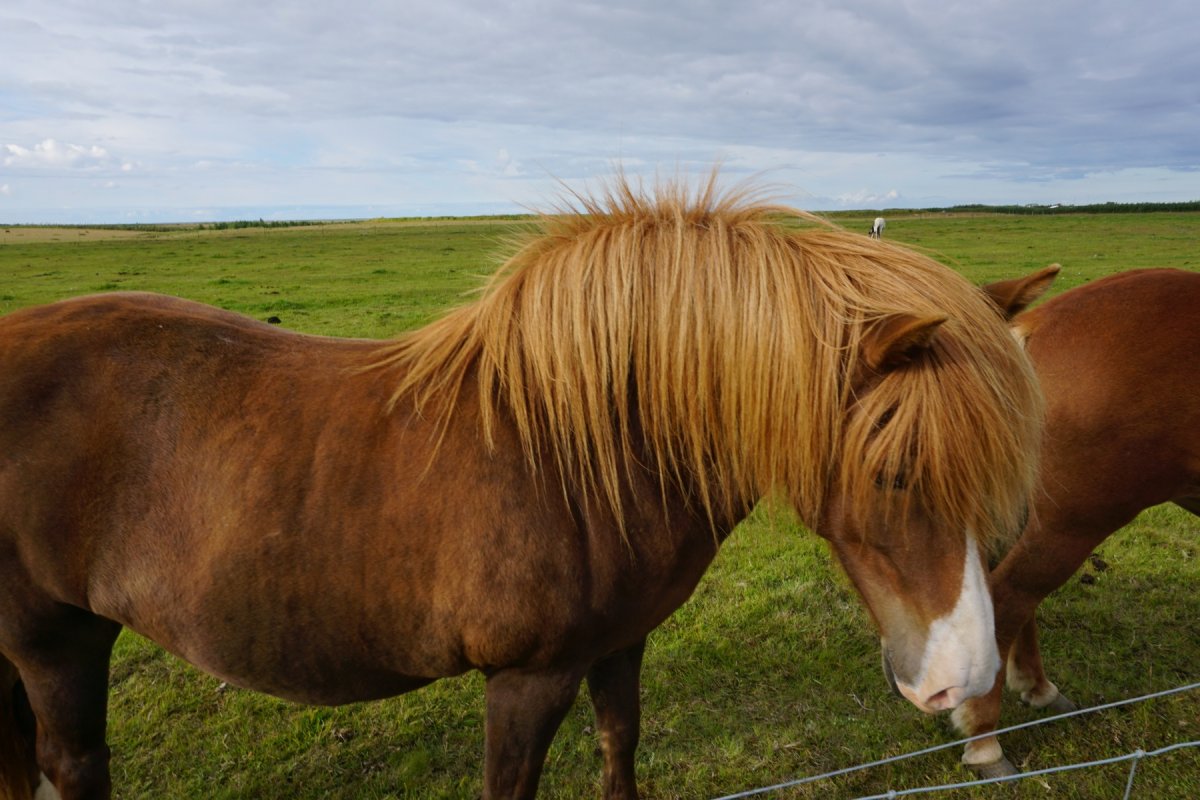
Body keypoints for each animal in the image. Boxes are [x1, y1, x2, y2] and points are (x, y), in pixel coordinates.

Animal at [0, 176, 1041, 800]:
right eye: (895, 471)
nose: (966, 680)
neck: (581, 451)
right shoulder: (527, 680)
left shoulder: (619, 645)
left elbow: (620, 744)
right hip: (56, 646)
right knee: (68, 764)